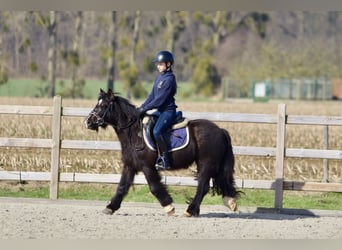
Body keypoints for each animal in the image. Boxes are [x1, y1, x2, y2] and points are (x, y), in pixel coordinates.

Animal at [85, 88, 240, 217]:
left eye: (103, 106)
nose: (87, 122)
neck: (133, 132)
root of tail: (220, 130)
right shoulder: (130, 165)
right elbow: (122, 187)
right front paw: (110, 207)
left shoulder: (147, 166)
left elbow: (154, 187)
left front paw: (169, 207)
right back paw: (228, 202)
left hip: (206, 163)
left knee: (203, 186)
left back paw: (190, 210)